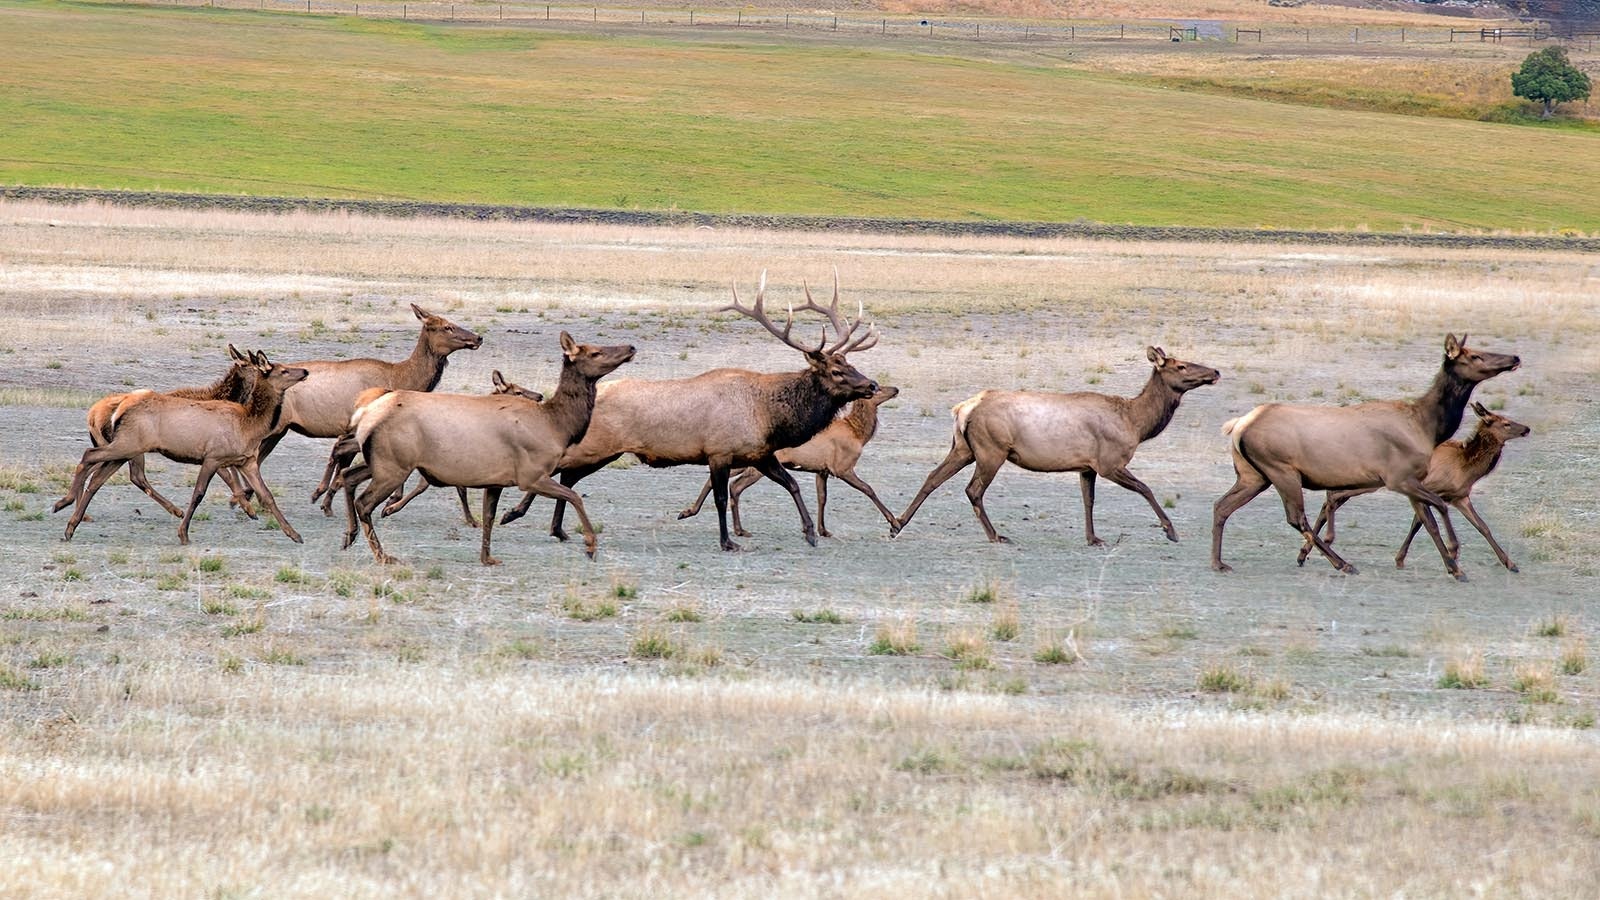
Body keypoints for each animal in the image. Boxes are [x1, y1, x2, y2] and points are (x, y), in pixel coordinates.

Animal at [61, 352, 308, 547]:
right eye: (284, 370)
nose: (305, 371)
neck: (249, 426)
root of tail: (117, 410)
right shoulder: (213, 456)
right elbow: (198, 493)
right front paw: (183, 534)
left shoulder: (247, 461)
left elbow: (267, 495)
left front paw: (295, 534)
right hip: (129, 444)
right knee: (89, 456)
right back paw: (65, 504)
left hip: (127, 449)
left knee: (99, 478)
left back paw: (71, 525)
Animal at [340, 333, 633, 563]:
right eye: (595, 352)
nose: (630, 347)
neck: (558, 427)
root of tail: (364, 413)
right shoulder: (530, 475)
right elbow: (574, 496)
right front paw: (591, 545)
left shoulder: (496, 480)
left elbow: (489, 517)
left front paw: (487, 557)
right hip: (394, 465)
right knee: (364, 502)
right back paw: (382, 555)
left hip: (383, 462)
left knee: (348, 476)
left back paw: (349, 536)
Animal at [496, 269, 876, 550]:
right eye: (836, 370)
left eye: (851, 363)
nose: (871, 384)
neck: (768, 416)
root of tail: (598, 390)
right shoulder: (720, 451)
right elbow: (720, 498)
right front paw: (727, 542)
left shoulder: (759, 452)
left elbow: (793, 484)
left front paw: (811, 532)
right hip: (596, 444)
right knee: (559, 468)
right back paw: (514, 513)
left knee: (568, 476)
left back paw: (556, 528)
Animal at [896, 344, 1216, 544]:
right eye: (1181, 366)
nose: (1215, 372)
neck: (1136, 424)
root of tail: (963, 408)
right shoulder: (1110, 462)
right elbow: (1146, 488)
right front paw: (1170, 531)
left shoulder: (1087, 466)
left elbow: (1088, 500)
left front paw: (1093, 538)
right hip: (991, 450)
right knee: (973, 490)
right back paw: (996, 535)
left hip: (963, 448)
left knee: (932, 477)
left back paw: (897, 523)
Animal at [1292, 398, 1529, 566]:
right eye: (1506, 424)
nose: (1526, 429)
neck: (1465, 467)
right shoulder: (1431, 489)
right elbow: (1419, 523)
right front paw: (1403, 558)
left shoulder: (1460, 496)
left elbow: (1483, 527)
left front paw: (1510, 564)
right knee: (1331, 497)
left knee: (1330, 498)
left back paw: (1306, 552)